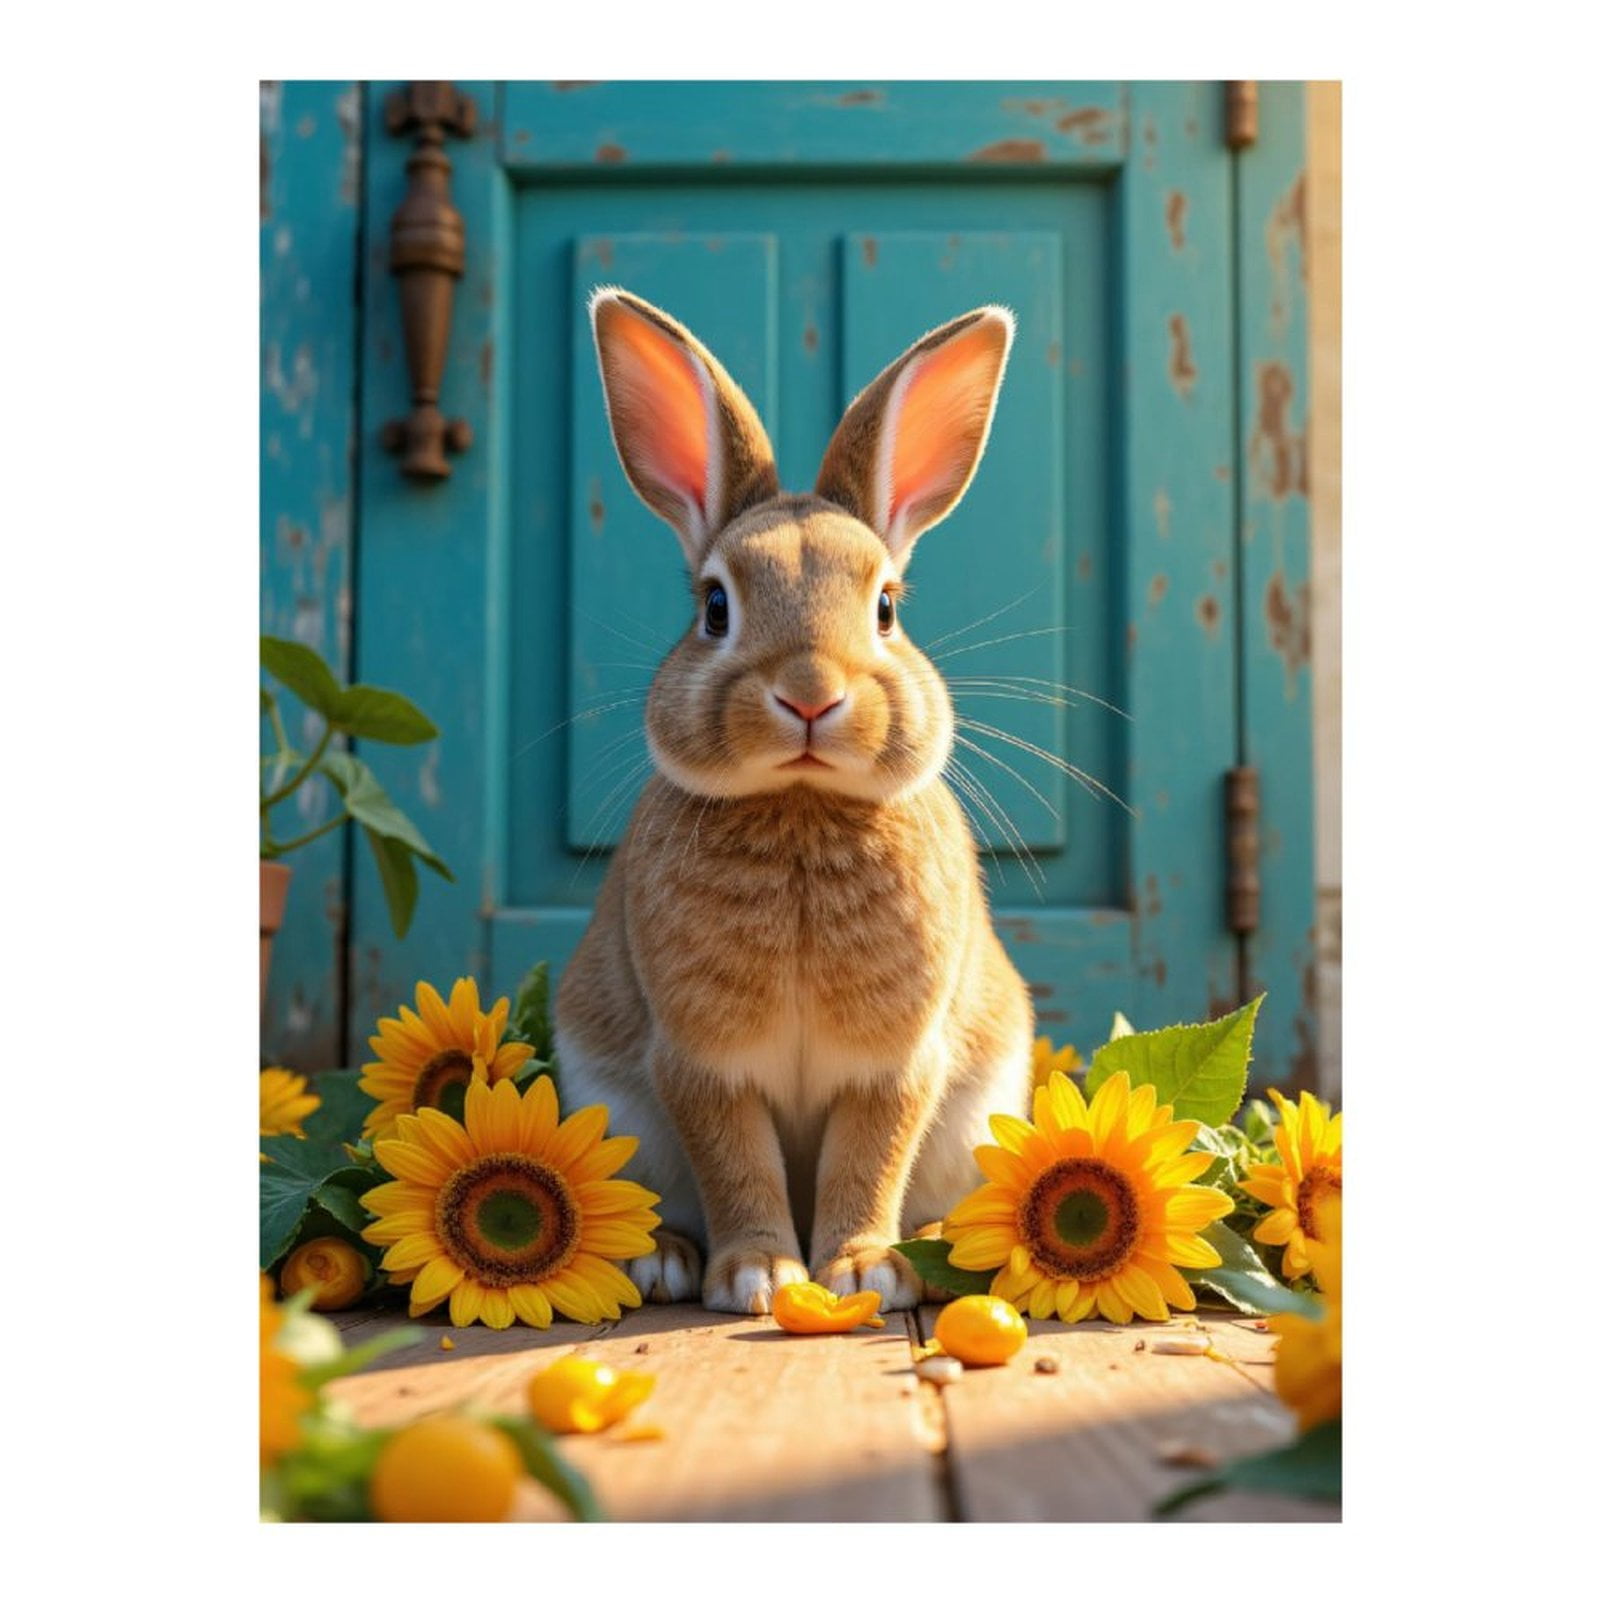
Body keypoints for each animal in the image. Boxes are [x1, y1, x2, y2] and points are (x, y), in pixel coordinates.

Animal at [553, 287, 1034, 1315]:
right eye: (714, 607)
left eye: (887, 607)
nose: (811, 694)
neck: (803, 806)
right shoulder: (700, 1066)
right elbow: (738, 1164)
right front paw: (760, 1277)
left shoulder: (898, 1065)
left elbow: (870, 1156)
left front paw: (859, 1271)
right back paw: (664, 1261)